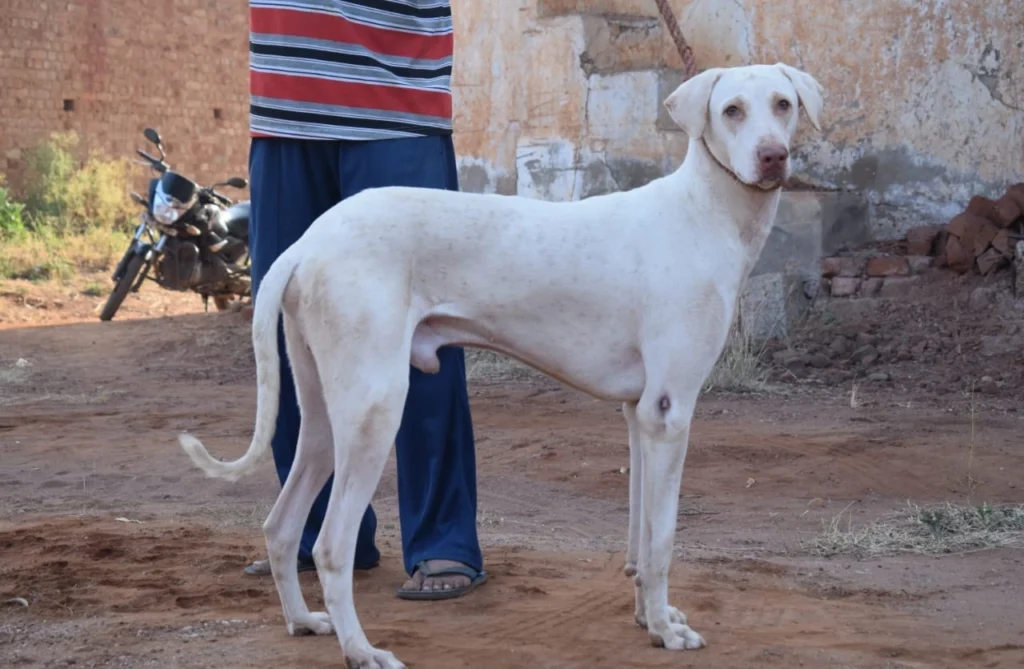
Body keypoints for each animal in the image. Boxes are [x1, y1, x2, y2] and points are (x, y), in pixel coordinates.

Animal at [178, 64, 823, 667]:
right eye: (731, 110)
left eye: (783, 104)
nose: (773, 157)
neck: (702, 212)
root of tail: (308, 242)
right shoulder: (670, 414)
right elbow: (662, 542)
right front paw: (667, 633)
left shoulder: (641, 416)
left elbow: (640, 542)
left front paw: (649, 617)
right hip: (373, 411)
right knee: (330, 545)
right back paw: (361, 650)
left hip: (320, 416)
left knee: (282, 526)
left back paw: (304, 622)